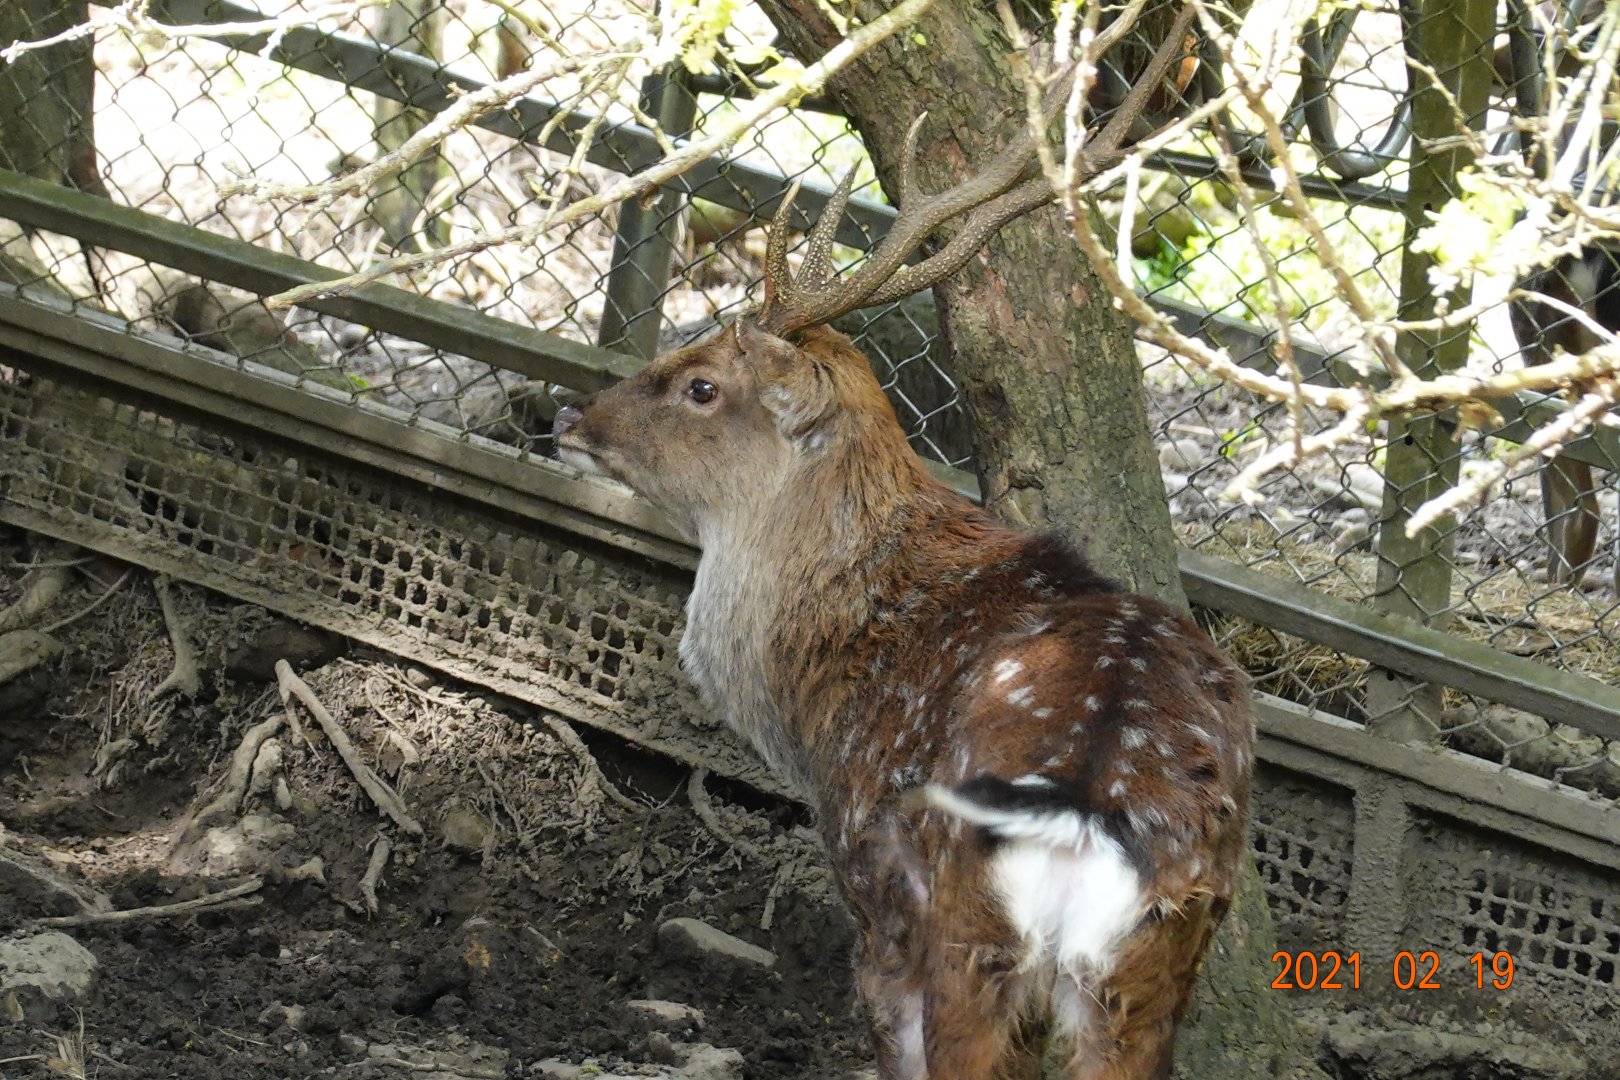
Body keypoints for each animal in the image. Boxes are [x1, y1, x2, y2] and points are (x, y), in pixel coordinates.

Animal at [552, 23, 1253, 1078]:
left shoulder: (870, 878)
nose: (573, 415)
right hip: (1158, 963)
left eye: (702, 385)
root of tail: (1090, 809)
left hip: (968, 929)